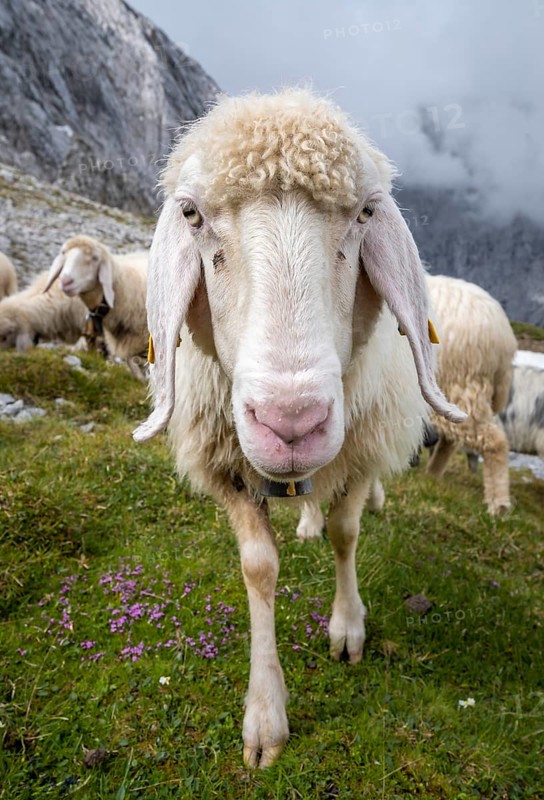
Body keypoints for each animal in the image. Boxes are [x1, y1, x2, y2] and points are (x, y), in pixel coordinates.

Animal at [132, 88, 465, 768]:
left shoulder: (359, 451)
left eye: (367, 212)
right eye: (191, 213)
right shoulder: (230, 468)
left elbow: (346, 532)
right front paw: (265, 715)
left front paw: (347, 627)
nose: (292, 422)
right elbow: (259, 568)